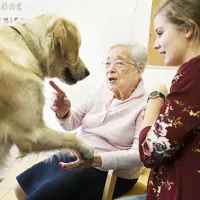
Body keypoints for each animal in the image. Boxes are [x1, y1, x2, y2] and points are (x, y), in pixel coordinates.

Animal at [0, 13, 93, 168]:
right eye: (78, 46)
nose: (88, 73)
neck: (27, 45)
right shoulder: (32, 134)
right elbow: (69, 136)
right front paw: (86, 147)